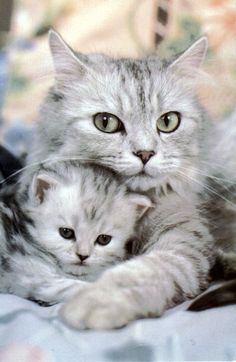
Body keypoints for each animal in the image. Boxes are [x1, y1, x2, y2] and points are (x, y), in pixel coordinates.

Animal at [21, 32, 235, 330]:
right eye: (105, 122)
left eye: (168, 121)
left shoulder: (184, 238)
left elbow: (143, 271)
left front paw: (95, 302)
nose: (145, 153)